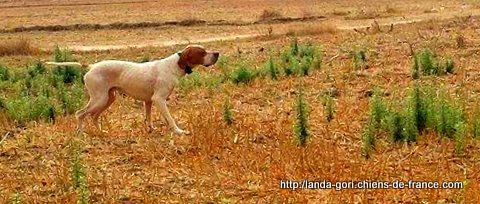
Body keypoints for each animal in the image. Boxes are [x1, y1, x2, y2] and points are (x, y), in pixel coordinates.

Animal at [47, 45, 219, 134]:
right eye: (202, 52)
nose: (217, 53)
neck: (174, 65)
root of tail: (91, 66)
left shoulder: (149, 101)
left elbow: (148, 118)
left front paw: (150, 129)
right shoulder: (159, 100)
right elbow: (170, 118)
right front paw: (178, 131)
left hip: (108, 98)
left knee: (94, 116)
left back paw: (101, 132)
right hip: (99, 99)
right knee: (80, 114)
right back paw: (80, 133)